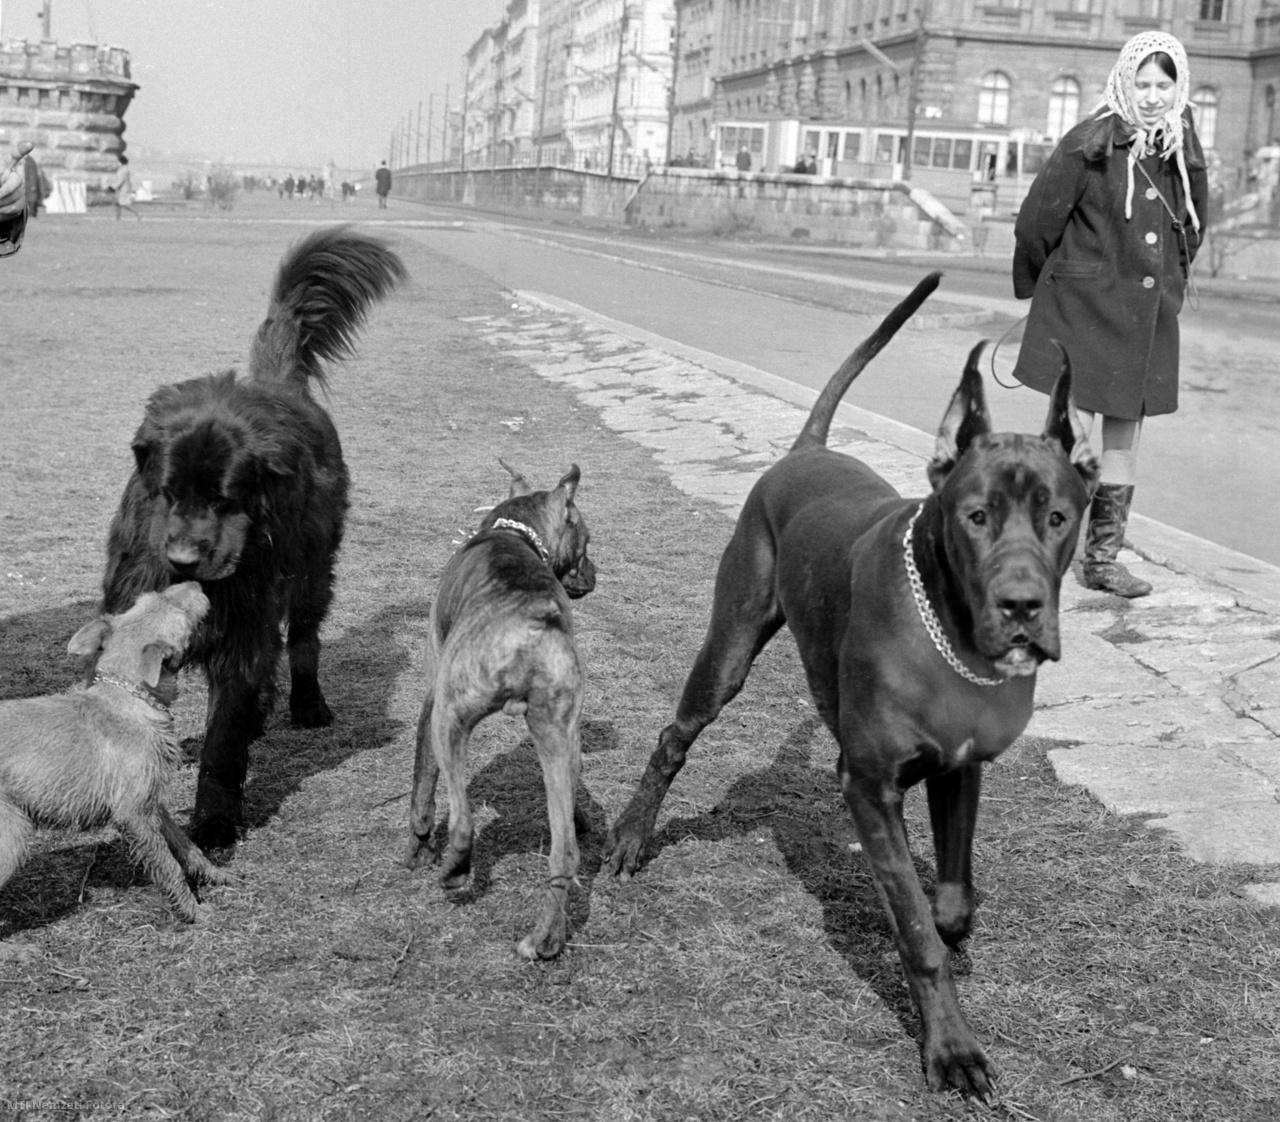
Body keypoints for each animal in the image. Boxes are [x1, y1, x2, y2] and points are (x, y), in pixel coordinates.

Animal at [103, 225, 404, 849]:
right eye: (168, 492)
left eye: (226, 500)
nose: (183, 558)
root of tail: (279, 383)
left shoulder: (243, 627)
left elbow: (224, 740)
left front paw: (214, 821)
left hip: (312, 572)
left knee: (304, 641)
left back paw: (307, 704)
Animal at [401, 460, 596, 956]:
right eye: (586, 541)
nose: (594, 571)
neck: (515, 532)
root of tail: (532, 621)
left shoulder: (431, 702)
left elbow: (422, 790)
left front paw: (418, 850)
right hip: (557, 735)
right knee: (564, 852)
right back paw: (546, 938)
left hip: (449, 718)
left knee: (462, 820)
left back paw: (454, 869)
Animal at [604, 273, 1095, 1095]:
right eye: (976, 516)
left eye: (1058, 516)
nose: (1023, 607)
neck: (945, 626)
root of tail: (806, 450)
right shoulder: (871, 784)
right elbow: (922, 935)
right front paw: (951, 1047)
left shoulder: (958, 769)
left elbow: (950, 902)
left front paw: (941, 925)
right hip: (729, 646)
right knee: (675, 735)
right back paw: (630, 837)